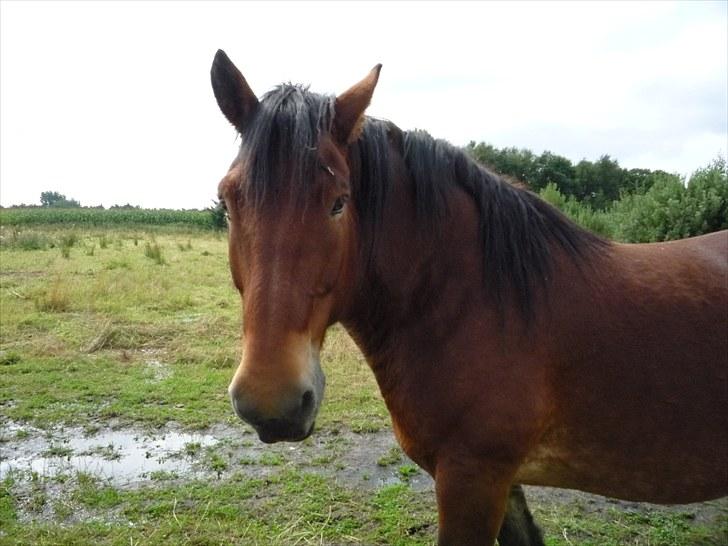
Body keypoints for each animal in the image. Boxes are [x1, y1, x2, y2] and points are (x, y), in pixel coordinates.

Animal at [208, 49, 724, 540]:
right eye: (228, 204)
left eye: (339, 202)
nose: (270, 402)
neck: (472, 307)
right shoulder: (501, 480)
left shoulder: (472, 477)